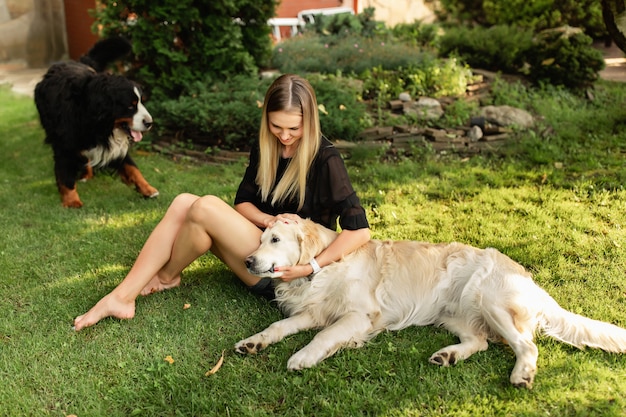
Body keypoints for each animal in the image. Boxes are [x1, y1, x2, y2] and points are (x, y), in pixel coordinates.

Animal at [33, 37, 158, 208]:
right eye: (130, 106)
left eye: (141, 102)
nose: (150, 123)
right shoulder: (64, 144)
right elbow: (65, 174)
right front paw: (71, 201)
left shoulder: (115, 146)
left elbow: (132, 167)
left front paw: (147, 188)